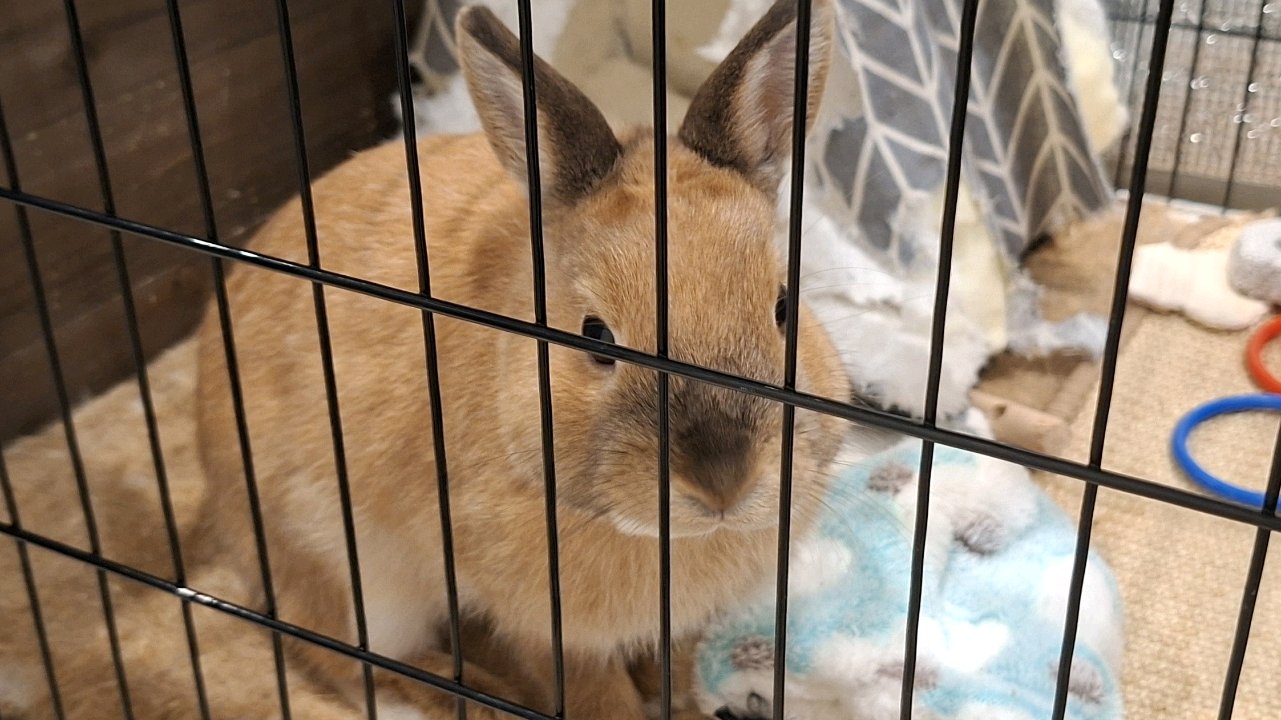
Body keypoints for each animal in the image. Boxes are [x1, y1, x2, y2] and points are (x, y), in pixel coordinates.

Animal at [191, 0, 847, 718]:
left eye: (783, 306)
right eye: (595, 336)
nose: (723, 481)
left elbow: (671, 667)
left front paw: (686, 705)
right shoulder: (547, 630)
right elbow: (595, 696)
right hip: (350, 569)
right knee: (342, 652)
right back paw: (476, 694)